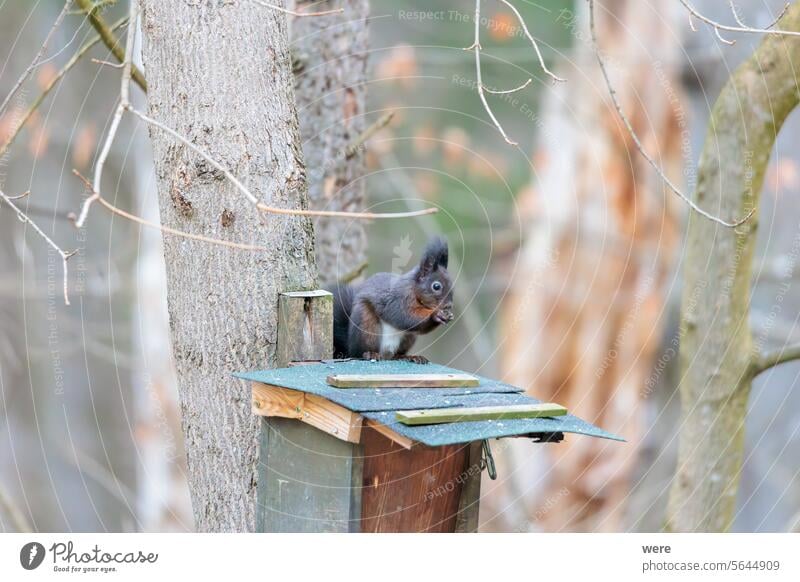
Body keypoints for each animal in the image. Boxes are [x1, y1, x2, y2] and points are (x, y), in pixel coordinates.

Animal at [326, 237, 454, 364]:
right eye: (436, 286)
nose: (448, 306)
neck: (413, 288)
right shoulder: (398, 299)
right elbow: (405, 316)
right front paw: (436, 314)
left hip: (408, 338)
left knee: (396, 355)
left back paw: (409, 357)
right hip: (366, 325)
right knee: (360, 352)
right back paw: (370, 353)